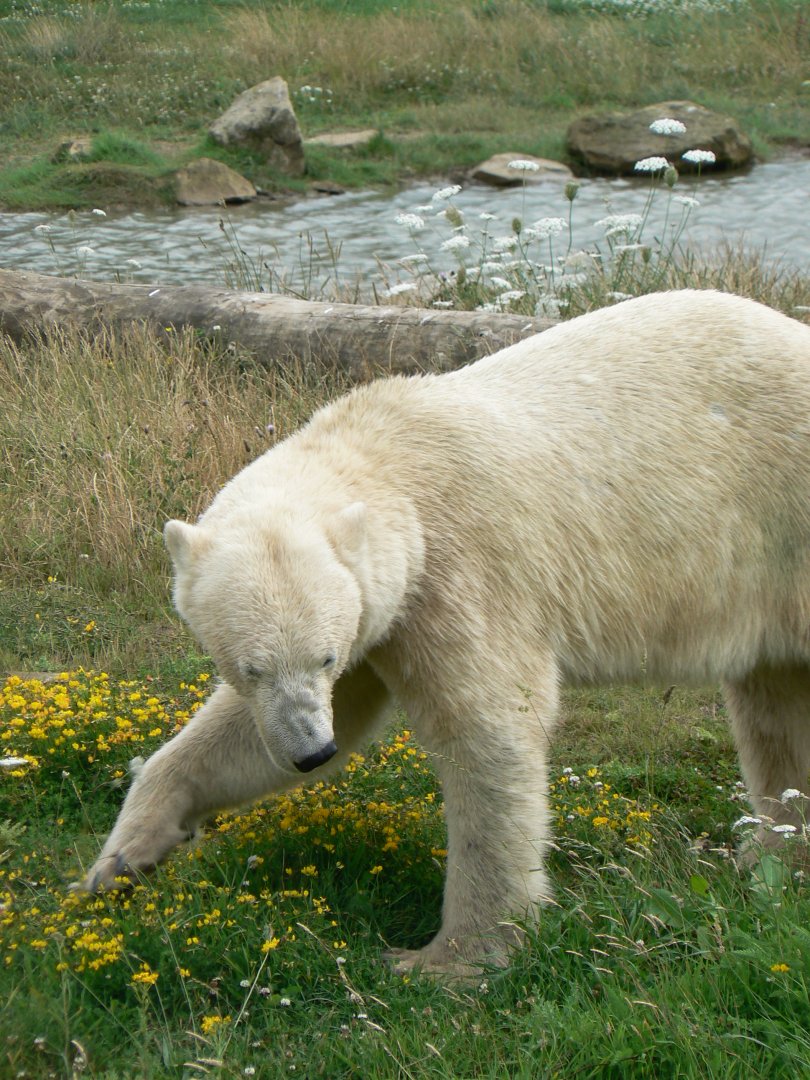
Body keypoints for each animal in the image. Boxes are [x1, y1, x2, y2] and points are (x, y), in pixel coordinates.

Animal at [77, 289, 810, 977]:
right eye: (248, 667)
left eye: (324, 656)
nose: (310, 753)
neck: (385, 454)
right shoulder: (380, 616)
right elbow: (253, 736)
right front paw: (123, 858)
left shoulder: (455, 570)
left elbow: (486, 728)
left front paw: (449, 959)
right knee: (776, 709)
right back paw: (774, 852)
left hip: (781, 513)